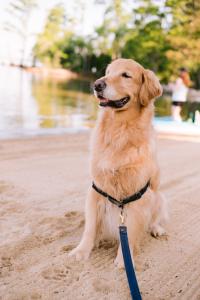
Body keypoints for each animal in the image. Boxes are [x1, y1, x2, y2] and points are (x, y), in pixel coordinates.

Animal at [69, 58, 168, 268]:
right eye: (107, 72)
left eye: (126, 75)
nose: (97, 84)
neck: (120, 131)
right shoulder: (96, 190)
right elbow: (90, 228)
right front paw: (81, 251)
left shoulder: (138, 197)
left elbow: (130, 234)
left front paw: (124, 261)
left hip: (158, 196)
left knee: (155, 218)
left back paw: (157, 229)